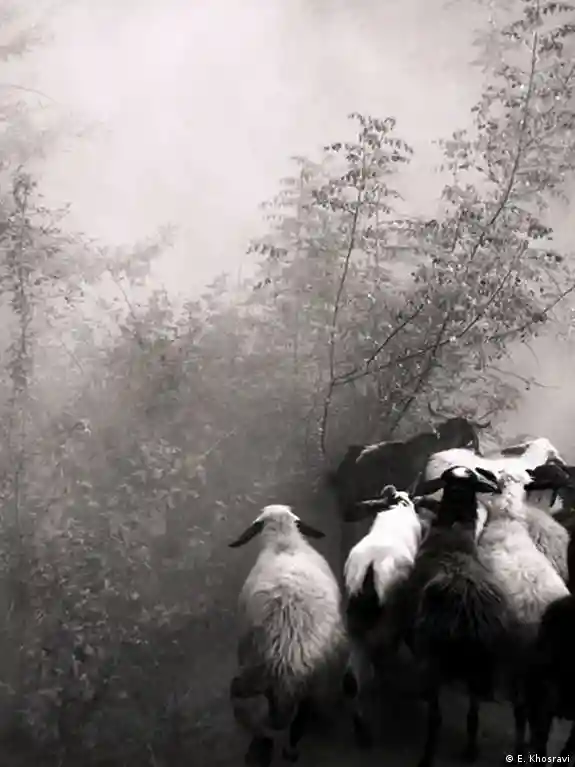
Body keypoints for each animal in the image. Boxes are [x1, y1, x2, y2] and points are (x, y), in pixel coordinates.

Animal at [401, 465, 516, 767]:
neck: (453, 531)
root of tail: (468, 611)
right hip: (481, 667)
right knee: (473, 714)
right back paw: (471, 750)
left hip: (434, 661)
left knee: (436, 718)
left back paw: (427, 757)